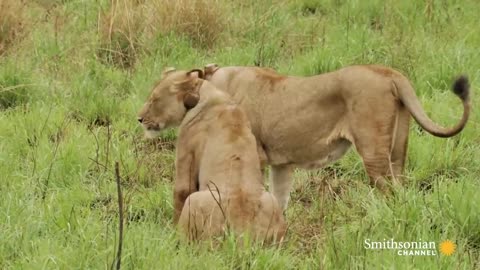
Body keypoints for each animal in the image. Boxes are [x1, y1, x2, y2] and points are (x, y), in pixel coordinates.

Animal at [136, 68, 284, 242]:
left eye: (155, 99)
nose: (139, 119)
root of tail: (243, 229)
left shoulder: (186, 152)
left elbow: (181, 192)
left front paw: (170, 232)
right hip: (272, 201)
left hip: (194, 201)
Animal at [200, 62, 472, 209]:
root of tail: (389, 72)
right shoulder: (281, 164)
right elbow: (279, 198)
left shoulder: (255, 155)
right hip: (398, 148)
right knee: (401, 184)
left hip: (373, 151)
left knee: (389, 190)